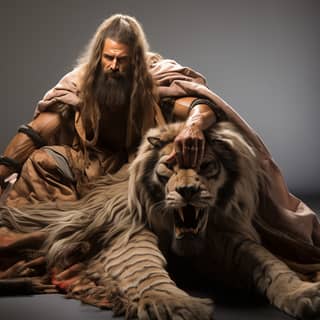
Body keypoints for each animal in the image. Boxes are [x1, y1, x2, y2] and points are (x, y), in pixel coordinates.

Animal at [0, 121, 320, 318]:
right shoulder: (126, 231)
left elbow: (270, 263)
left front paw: (303, 293)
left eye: (205, 165)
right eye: (170, 165)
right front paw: (175, 304)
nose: (188, 191)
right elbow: (142, 267)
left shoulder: (225, 237)